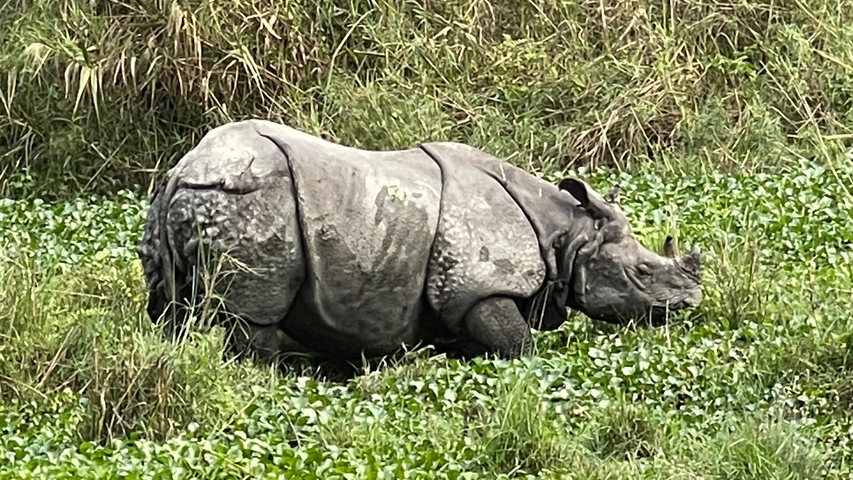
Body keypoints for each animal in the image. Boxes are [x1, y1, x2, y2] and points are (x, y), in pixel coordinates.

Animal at [136, 119, 702, 363]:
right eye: (642, 273)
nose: (690, 303)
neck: (565, 234)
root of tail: (184, 169)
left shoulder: (460, 297)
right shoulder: (480, 287)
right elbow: (519, 347)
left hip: (184, 199)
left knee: (169, 311)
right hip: (252, 195)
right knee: (254, 316)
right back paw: (264, 378)